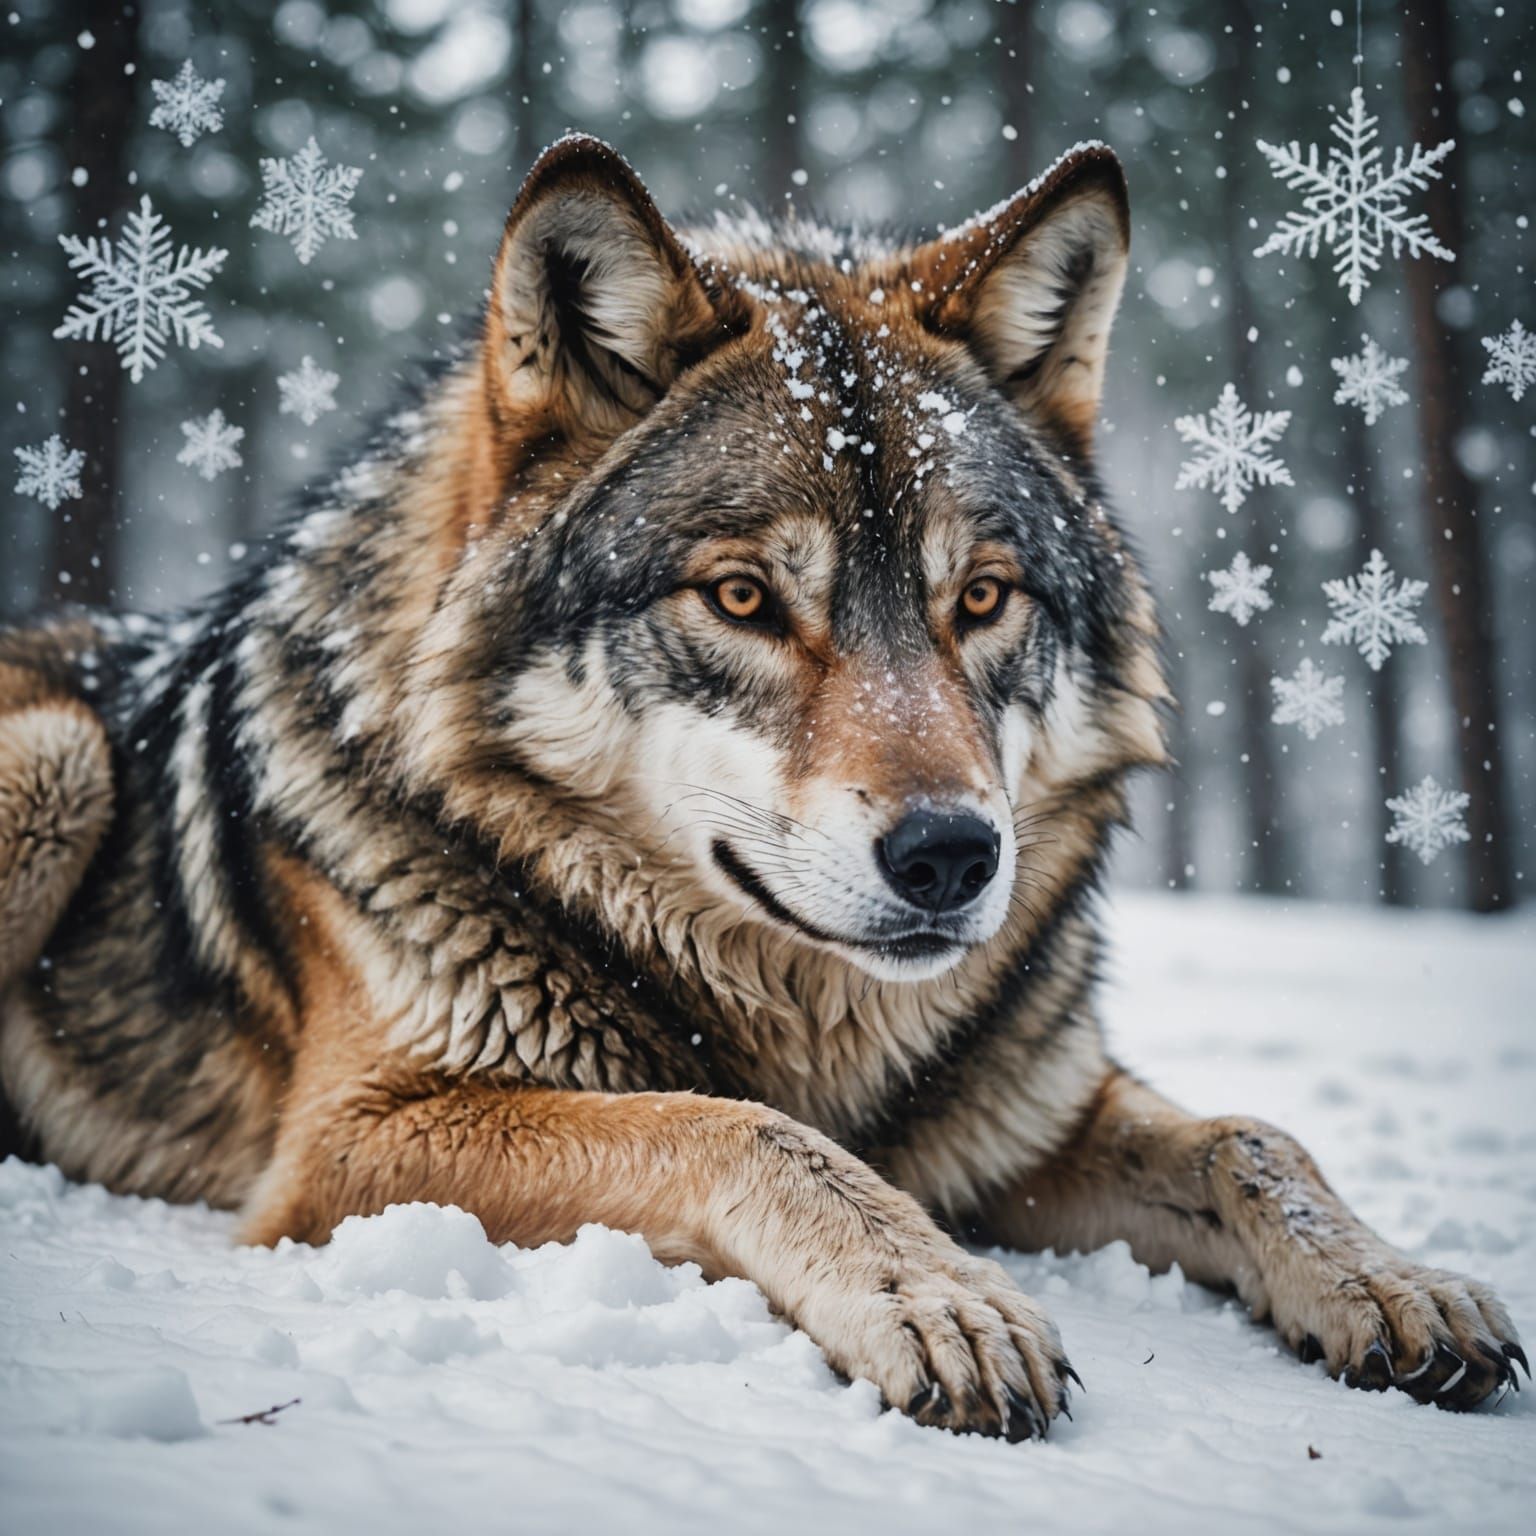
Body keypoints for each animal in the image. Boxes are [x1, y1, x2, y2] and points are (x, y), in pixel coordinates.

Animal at [0, 136, 1522, 1437]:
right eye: (741, 598)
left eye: (982, 598)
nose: (953, 855)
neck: (808, 1020)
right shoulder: (347, 1148)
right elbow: (736, 1126)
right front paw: (937, 1292)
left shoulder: (1019, 1124)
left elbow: (1256, 1140)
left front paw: (1394, 1281)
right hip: (60, 755)